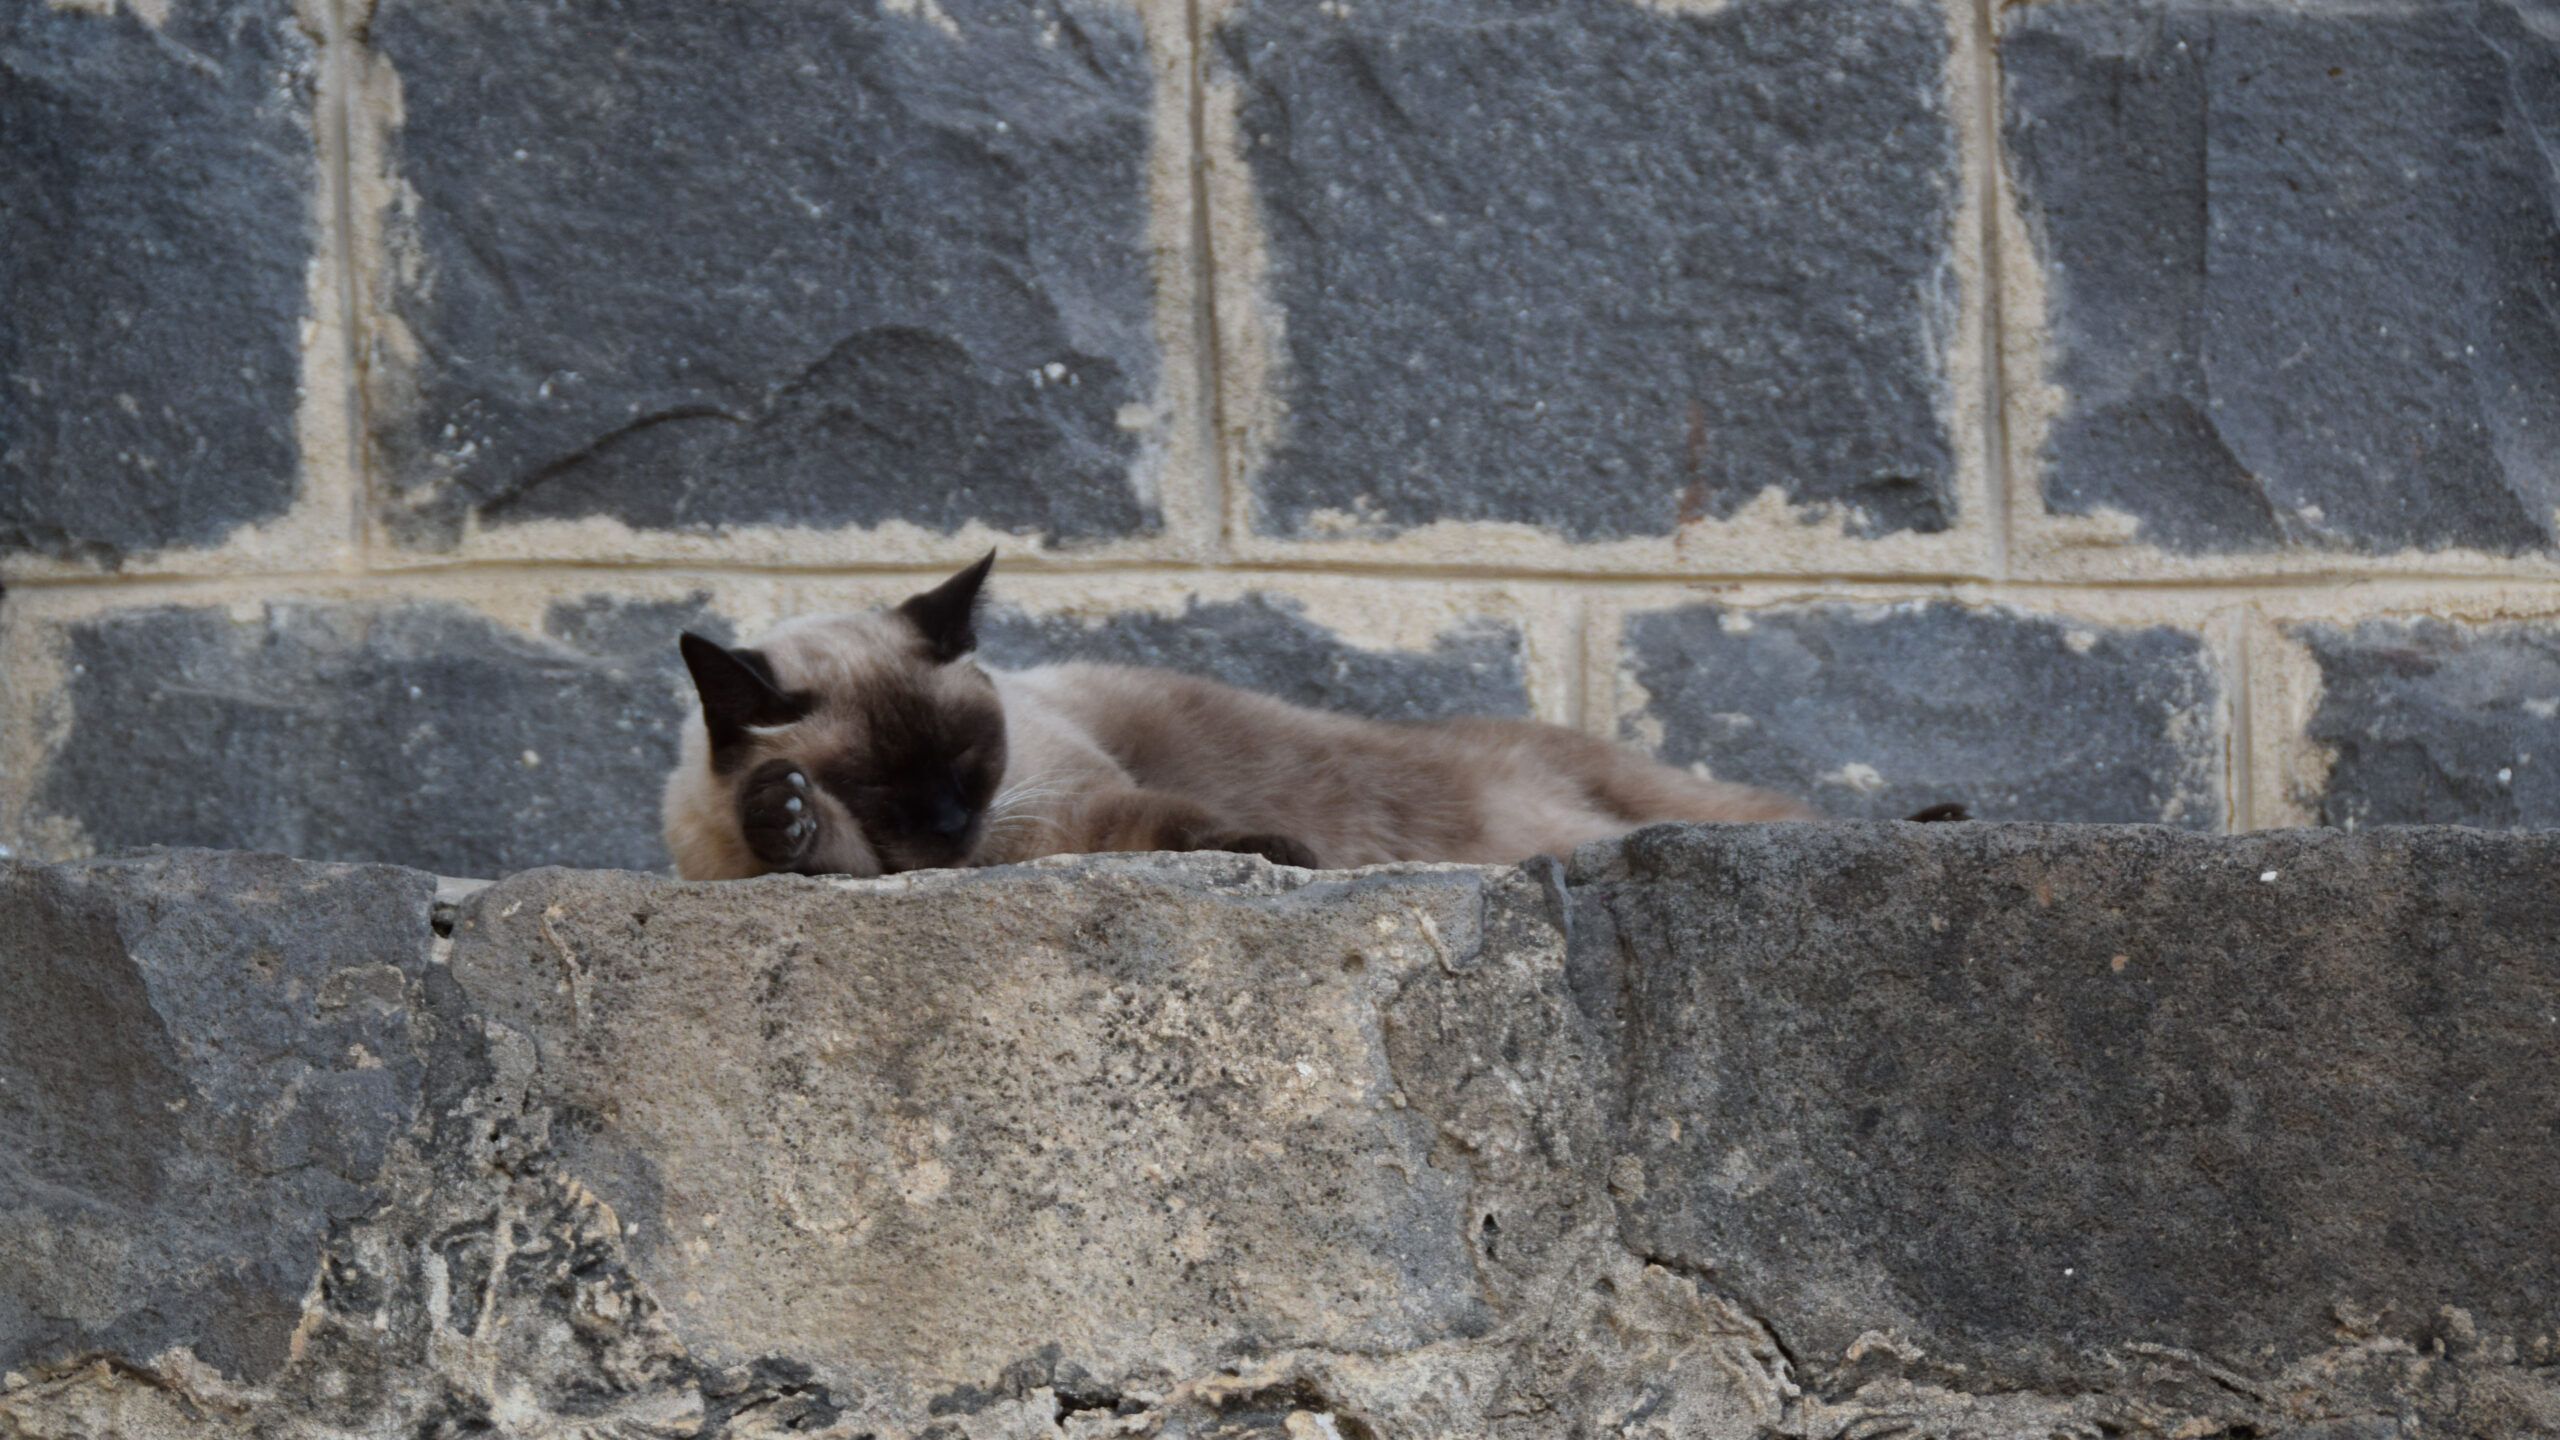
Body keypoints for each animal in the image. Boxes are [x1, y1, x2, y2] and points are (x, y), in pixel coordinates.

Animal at [660, 556, 1955, 881]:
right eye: (890, 788)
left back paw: (1931, 819)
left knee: (1774, 815)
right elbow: (807, 849)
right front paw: (788, 818)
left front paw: (1287, 853)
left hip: (1663, 799)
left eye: (971, 763)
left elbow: (1191, 823)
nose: (946, 831)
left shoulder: (1072, 809)